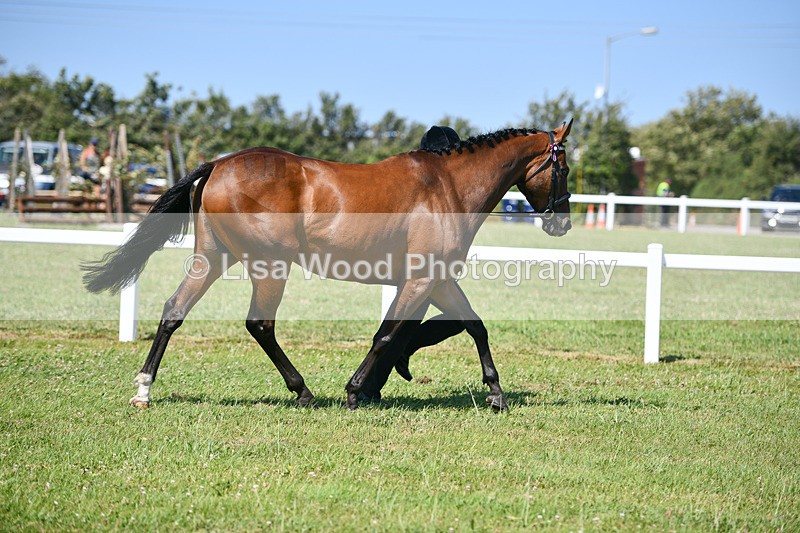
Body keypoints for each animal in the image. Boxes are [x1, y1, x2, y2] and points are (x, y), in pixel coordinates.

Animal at [82, 120, 573, 410]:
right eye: (564, 167)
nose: (562, 222)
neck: (447, 186)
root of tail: (218, 164)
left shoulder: (435, 280)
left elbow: (470, 325)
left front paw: (494, 392)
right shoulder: (422, 278)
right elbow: (389, 333)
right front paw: (357, 390)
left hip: (213, 257)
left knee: (173, 311)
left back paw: (144, 389)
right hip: (270, 265)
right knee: (260, 324)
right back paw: (303, 391)